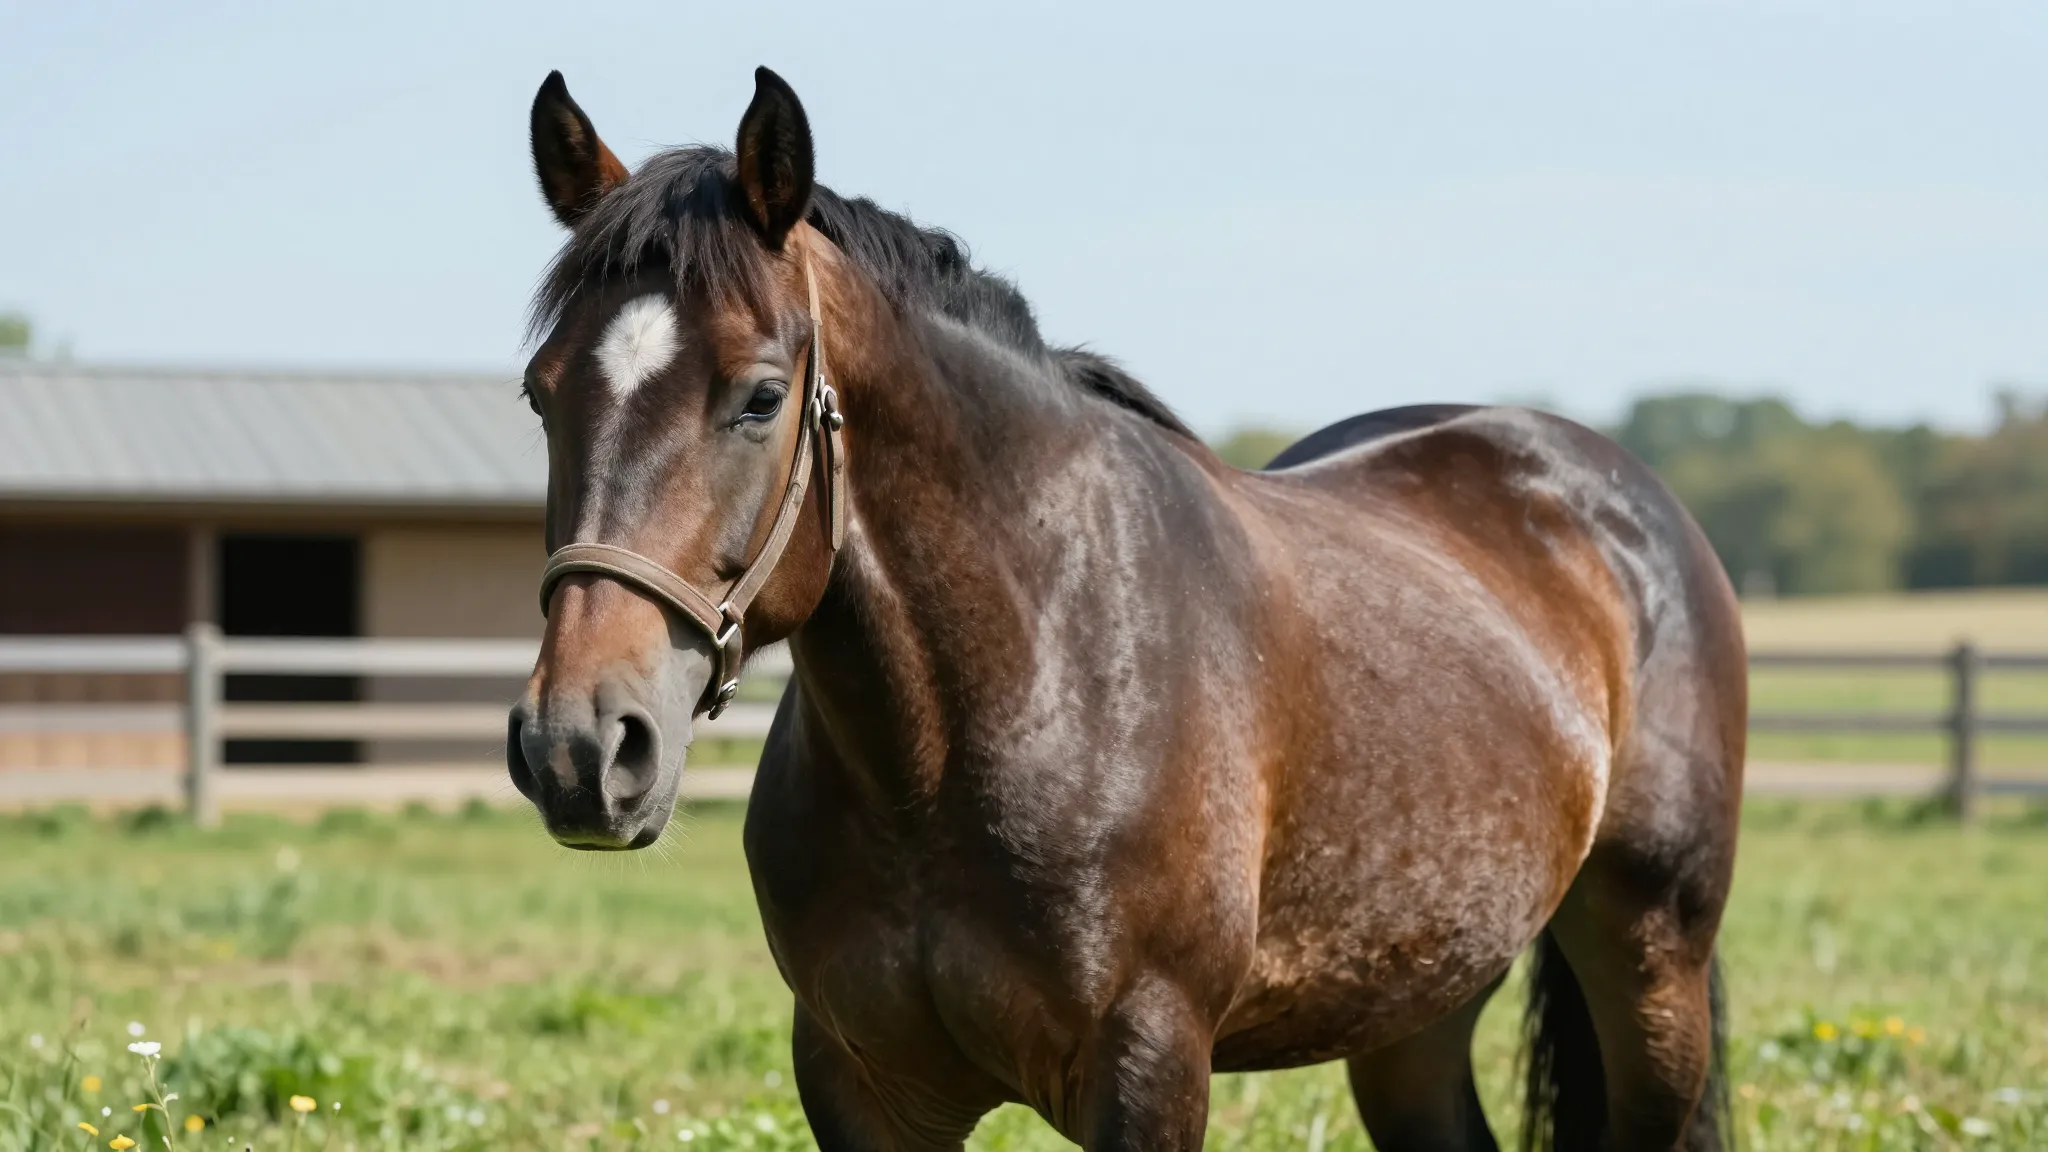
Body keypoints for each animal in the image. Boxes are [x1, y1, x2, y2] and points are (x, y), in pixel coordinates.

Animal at [506, 67, 1745, 1151]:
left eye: (761, 396)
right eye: (540, 393)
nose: (579, 748)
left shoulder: (1147, 1065)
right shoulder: (862, 1084)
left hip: (1650, 971)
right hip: (1418, 996)